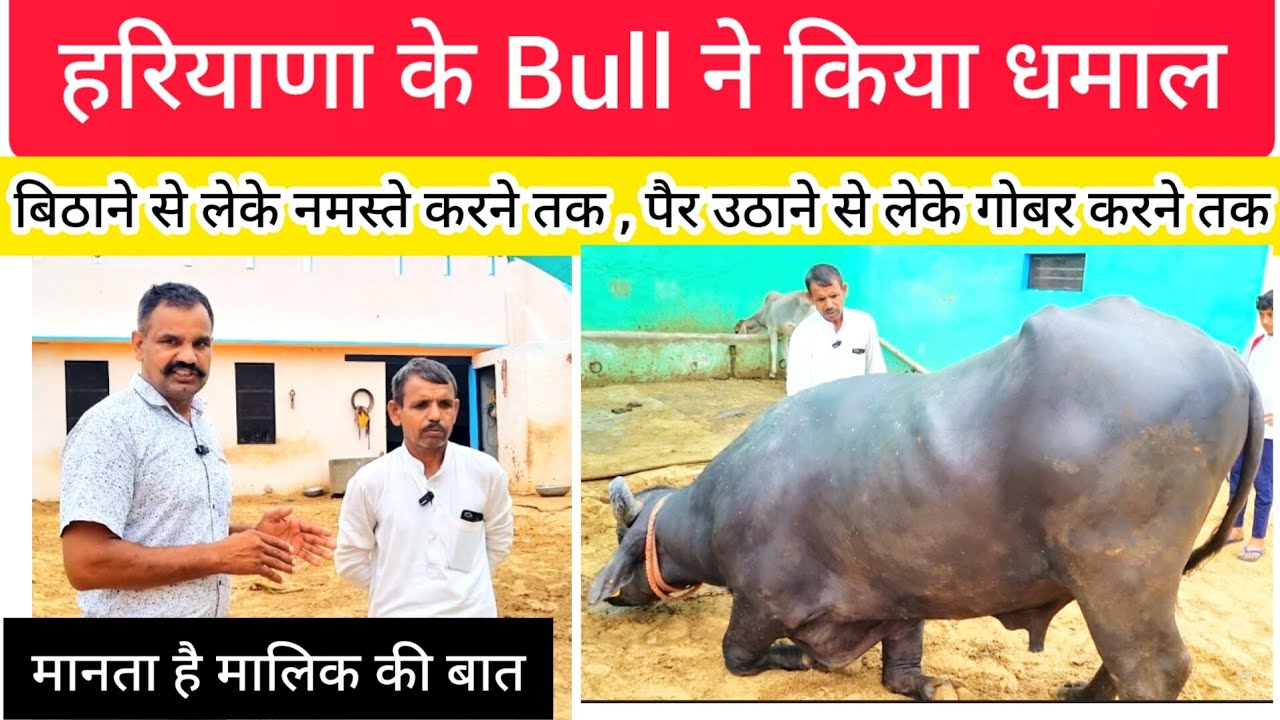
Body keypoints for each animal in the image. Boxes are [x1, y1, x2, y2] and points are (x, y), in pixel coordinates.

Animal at [589, 297, 1263, 701]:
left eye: (626, 530)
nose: (616, 598)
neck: (714, 511)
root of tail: (1228, 358)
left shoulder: (762, 601)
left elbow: (738, 654)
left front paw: (793, 660)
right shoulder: (899, 591)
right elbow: (902, 656)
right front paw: (920, 685)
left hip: (1120, 574)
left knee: (1153, 668)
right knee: (1124, 660)